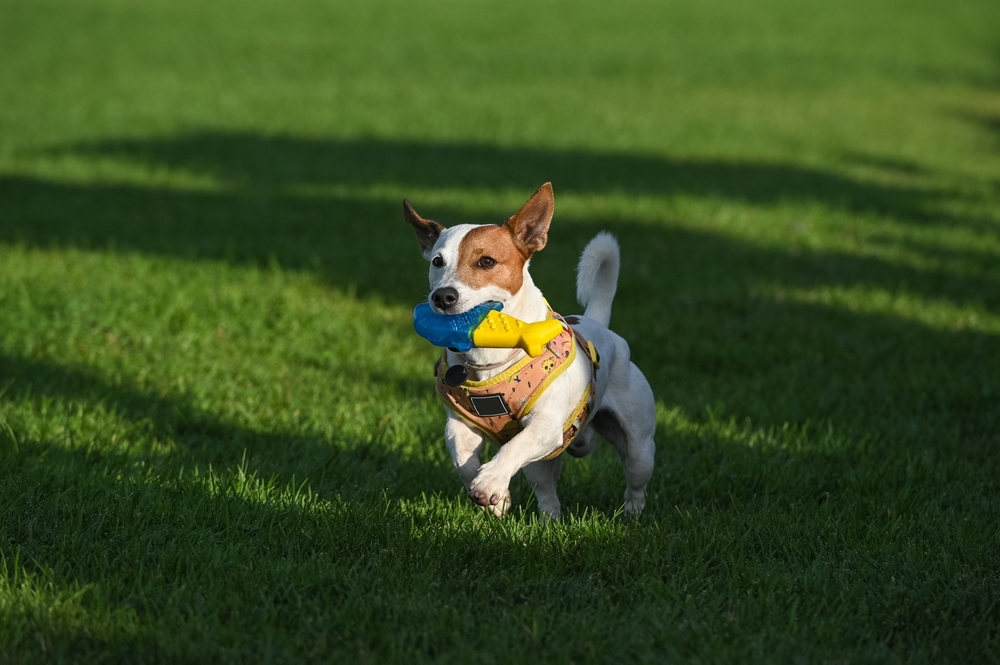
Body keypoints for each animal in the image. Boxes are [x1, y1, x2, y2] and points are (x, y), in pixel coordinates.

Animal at [406, 183, 656, 520]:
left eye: (486, 262)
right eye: (436, 262)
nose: (442, 296)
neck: (488, 359)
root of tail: (596, 321)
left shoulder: (546, 426)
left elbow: (512, 446)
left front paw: (489, 482)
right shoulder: (459, 426)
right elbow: (462, 460)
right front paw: (495, 496)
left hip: (639, 446)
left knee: (636, 478)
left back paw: (632, 512)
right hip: (543, 462)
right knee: (546, 488)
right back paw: (550, 517)